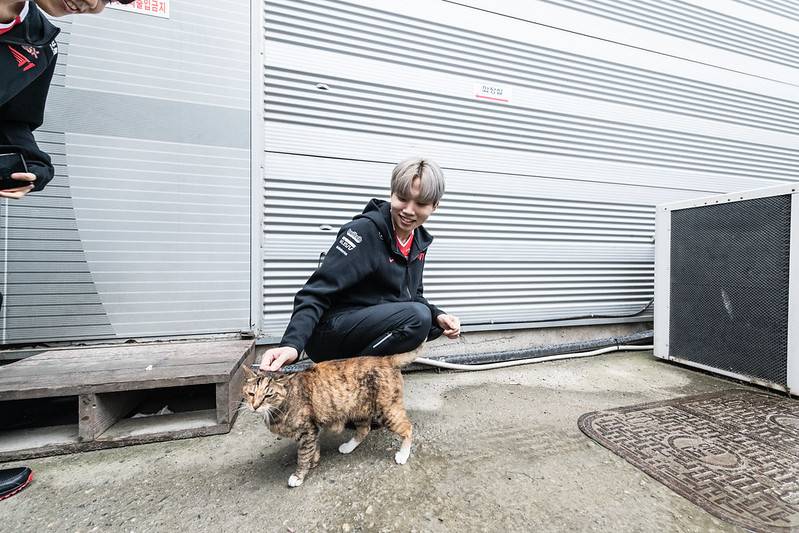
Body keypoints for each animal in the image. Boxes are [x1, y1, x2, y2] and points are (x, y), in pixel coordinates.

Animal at [239, 344, 422, 486]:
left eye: (269, 395)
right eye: (251, 393)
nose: (255, 406)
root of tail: (386, 359)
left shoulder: (307, 430)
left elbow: (303, 455)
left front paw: (299, 475)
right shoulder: (312, 430)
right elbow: (313, 448)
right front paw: (314, 461)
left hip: (387, 411)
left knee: (408, 428)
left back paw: (403, 455)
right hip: (358, 410)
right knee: (364, 429)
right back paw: (348, 446)